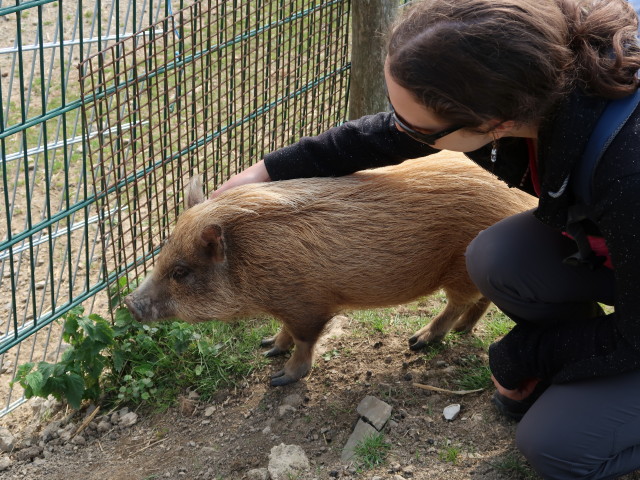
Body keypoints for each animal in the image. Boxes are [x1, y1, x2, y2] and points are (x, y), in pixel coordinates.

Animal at [124, 152, 536, 388]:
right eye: (163, 253)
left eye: (181, 272)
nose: (129, 303)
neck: (253, 261)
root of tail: (521, 197)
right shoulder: (288, 305)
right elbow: (285, 333)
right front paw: (267, 347)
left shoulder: (307, 303)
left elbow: (305, 340)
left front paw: (279, 379)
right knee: (479, 302)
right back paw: (462, 331)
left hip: (459, 269)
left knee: (458, 303)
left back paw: (418, 341)